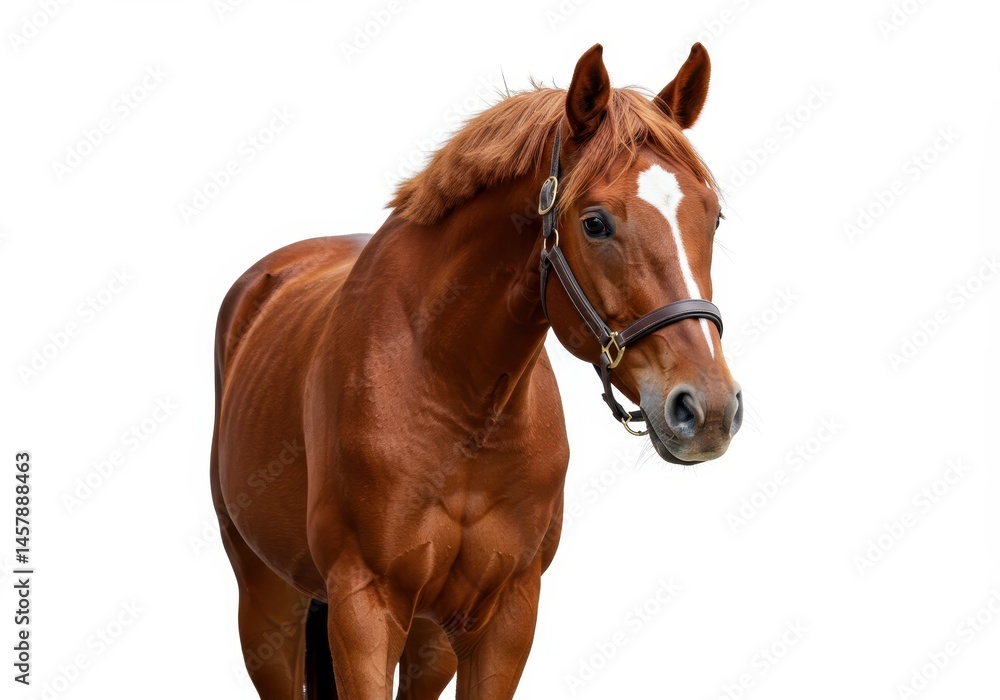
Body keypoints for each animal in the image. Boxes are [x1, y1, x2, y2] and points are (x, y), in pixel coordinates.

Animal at [210, 42, 742, 699]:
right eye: (594, 222)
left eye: (712, 217)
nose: (708, 409)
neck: (456, 398)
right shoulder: (363, 611)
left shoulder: (506, 612)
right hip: (266, 603)